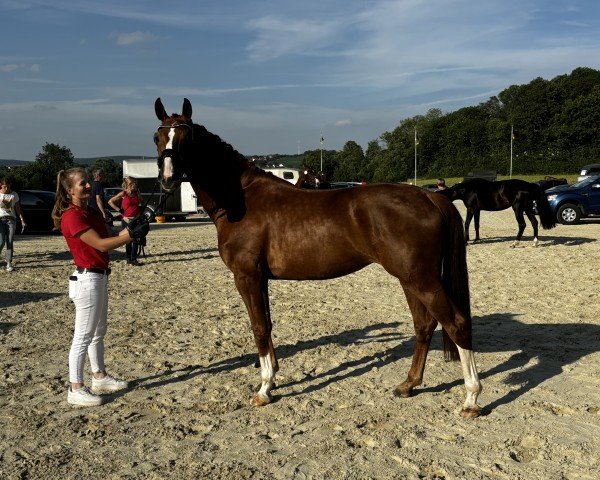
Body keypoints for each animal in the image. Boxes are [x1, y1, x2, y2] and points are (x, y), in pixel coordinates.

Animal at [151, 97, 482, 416]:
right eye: (157, 136)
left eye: (188, 138)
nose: (167, 178)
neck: (241, 200)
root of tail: (429, 196)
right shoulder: (260, 279)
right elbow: (267, 325)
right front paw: (273, 380)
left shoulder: (247, 276)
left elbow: (259, 328)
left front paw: (264, 389)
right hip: (410, 279)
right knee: (424, 325)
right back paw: (409, 384)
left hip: (422, 280)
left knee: (456, 323)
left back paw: (471, 399)